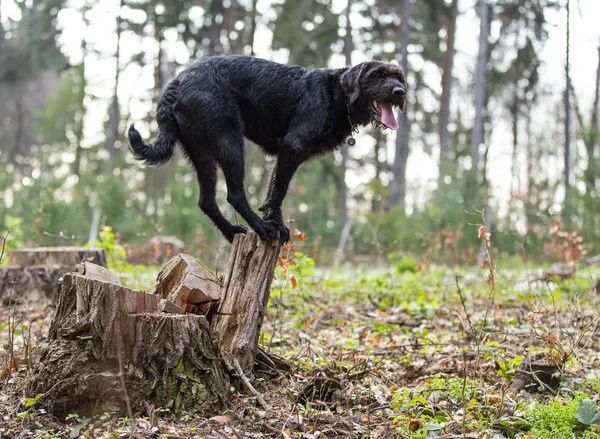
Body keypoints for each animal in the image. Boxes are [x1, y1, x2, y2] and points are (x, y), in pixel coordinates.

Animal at [129, 55, 406, 244]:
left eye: (399, 77)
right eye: (378, 75)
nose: (400, 91)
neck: (336, 93)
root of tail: (177, 81)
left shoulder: (288, 155)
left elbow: (273, 190)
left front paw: (273, 220)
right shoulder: (292, 148)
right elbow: (278, 193)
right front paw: (275, 224)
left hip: (203, 154)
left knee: (206, 200)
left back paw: (232, 232)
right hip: (230, 143)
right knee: (234, 195)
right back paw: (261, 229)